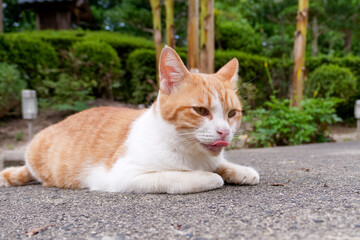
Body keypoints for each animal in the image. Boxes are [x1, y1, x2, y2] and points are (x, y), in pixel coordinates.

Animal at [0, 46, 258, 194]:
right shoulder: (123, 177)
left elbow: (221, 164)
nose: (224, 132)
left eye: (231, 113)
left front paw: (240, 170)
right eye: (201, 110)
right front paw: (209, 176)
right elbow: (192, 177)